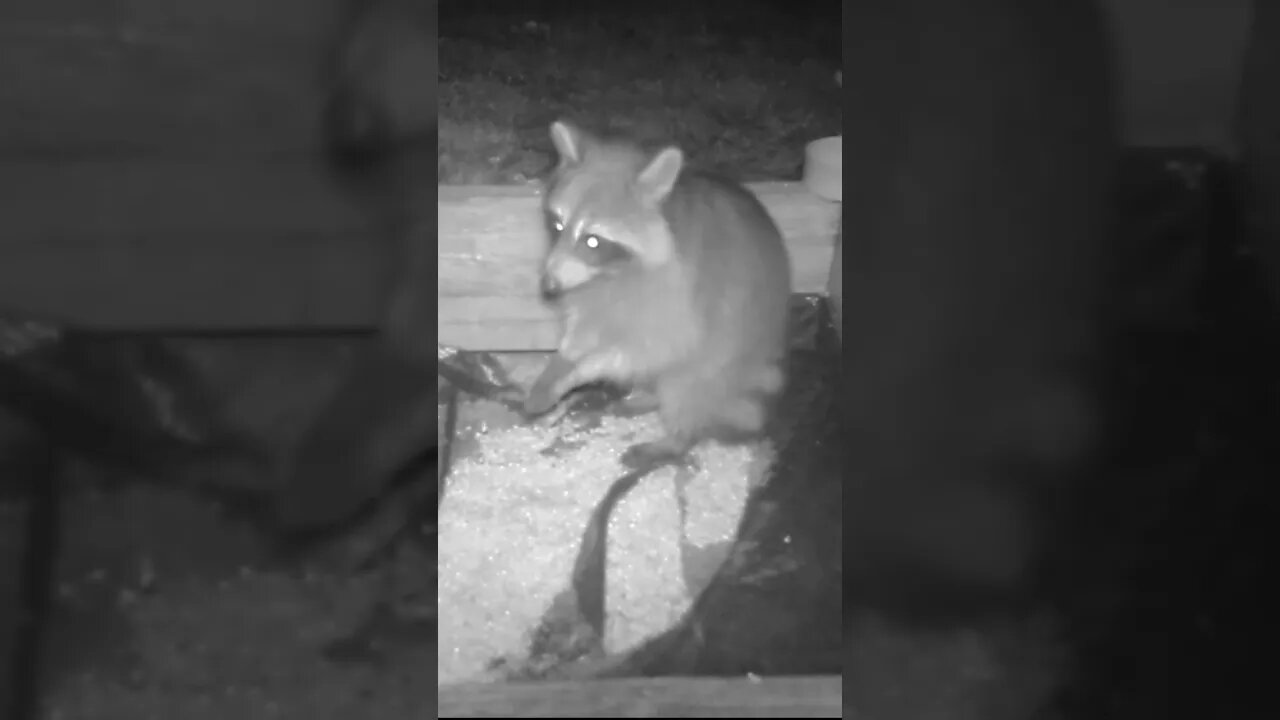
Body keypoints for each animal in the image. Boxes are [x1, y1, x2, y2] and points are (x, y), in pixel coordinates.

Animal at [522, 120, 788, 468]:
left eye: (593, 241)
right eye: (556, 225)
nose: (548, 287)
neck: (611, 273)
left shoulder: (679, 302)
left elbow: (651, 350)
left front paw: (584, 369)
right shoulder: (591, 295)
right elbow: (583, 330)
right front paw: (561, 363)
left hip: (726, 350)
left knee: (686, 386)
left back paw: (673, 440)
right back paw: (647, 396)